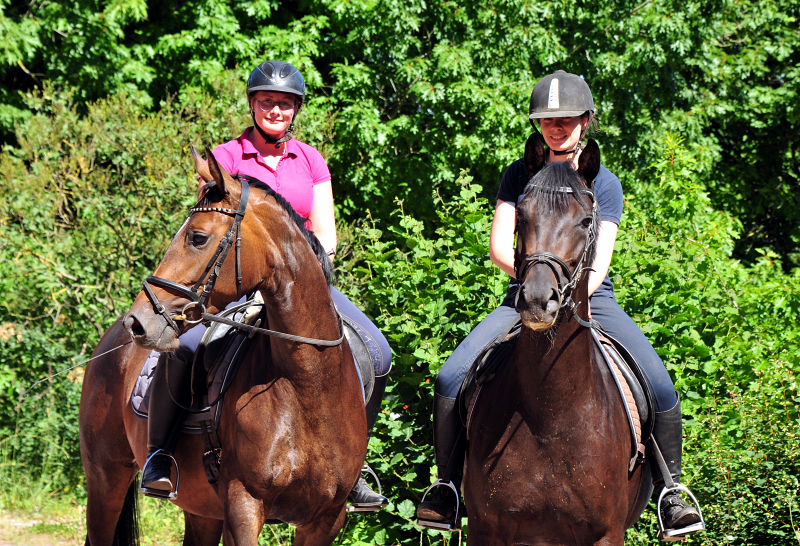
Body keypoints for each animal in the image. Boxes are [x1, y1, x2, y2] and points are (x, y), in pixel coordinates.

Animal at [78, 149, 366, 544]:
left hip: (201, 508)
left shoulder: (326, 519)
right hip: (105, 479)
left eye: (198, 237)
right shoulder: (243, 505)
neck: (309, 385)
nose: (137, 323)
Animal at [466, 136, 652, 540]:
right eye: (520, 215)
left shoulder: (606, 534)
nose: (538, 300)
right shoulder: (486, 529)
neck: (549, 416)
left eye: (585, 221)